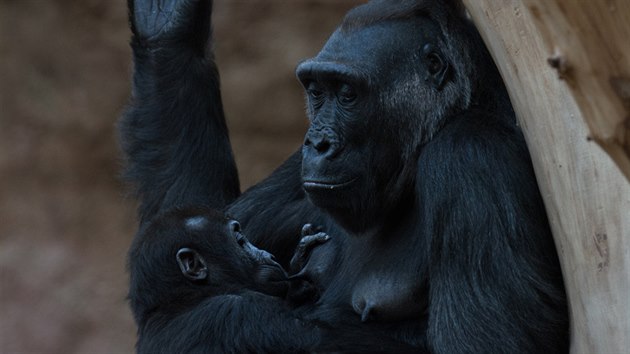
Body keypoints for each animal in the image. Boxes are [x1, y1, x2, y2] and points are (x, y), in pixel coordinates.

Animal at [119, 0, 572, 352]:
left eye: (347, 93)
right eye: (316, 90)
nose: (316, 143)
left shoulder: (471, 154)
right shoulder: (296, 172)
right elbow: (190, 224)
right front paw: (169, 28)